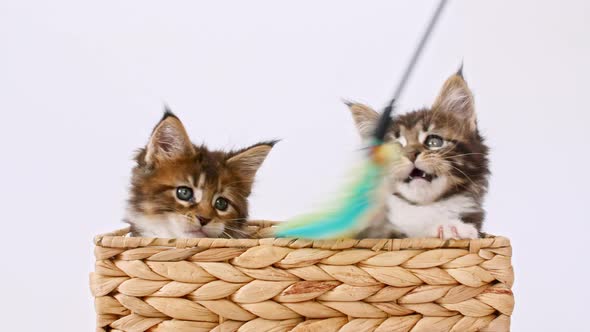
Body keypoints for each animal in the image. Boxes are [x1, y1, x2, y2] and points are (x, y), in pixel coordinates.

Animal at [352, 69, 490, 239]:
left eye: (434, 142)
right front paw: (447, 227)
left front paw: (454, 227)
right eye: (394, 149)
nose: (411, 154)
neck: (424, 207)